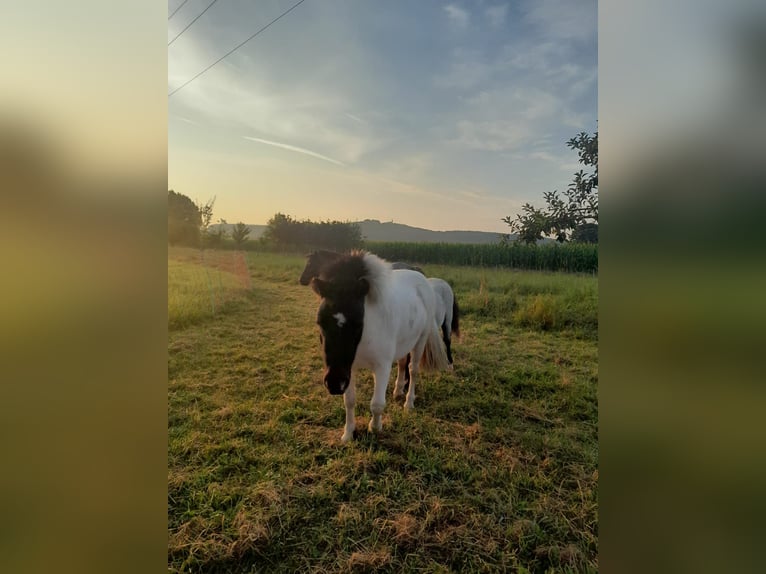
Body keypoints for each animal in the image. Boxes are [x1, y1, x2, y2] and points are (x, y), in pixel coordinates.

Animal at [310, 250, 450, 444]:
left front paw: (375, 428)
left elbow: (376, 404)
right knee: (402, 364)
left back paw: (408, 403)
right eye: (319, 322)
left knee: (413, 370)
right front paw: (348, 433)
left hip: (420, 341)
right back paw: (398, 391)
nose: (334, 384)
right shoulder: (349, 367)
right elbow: (349, 401)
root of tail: (422, 278)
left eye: (357, 323)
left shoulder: (381, 367)